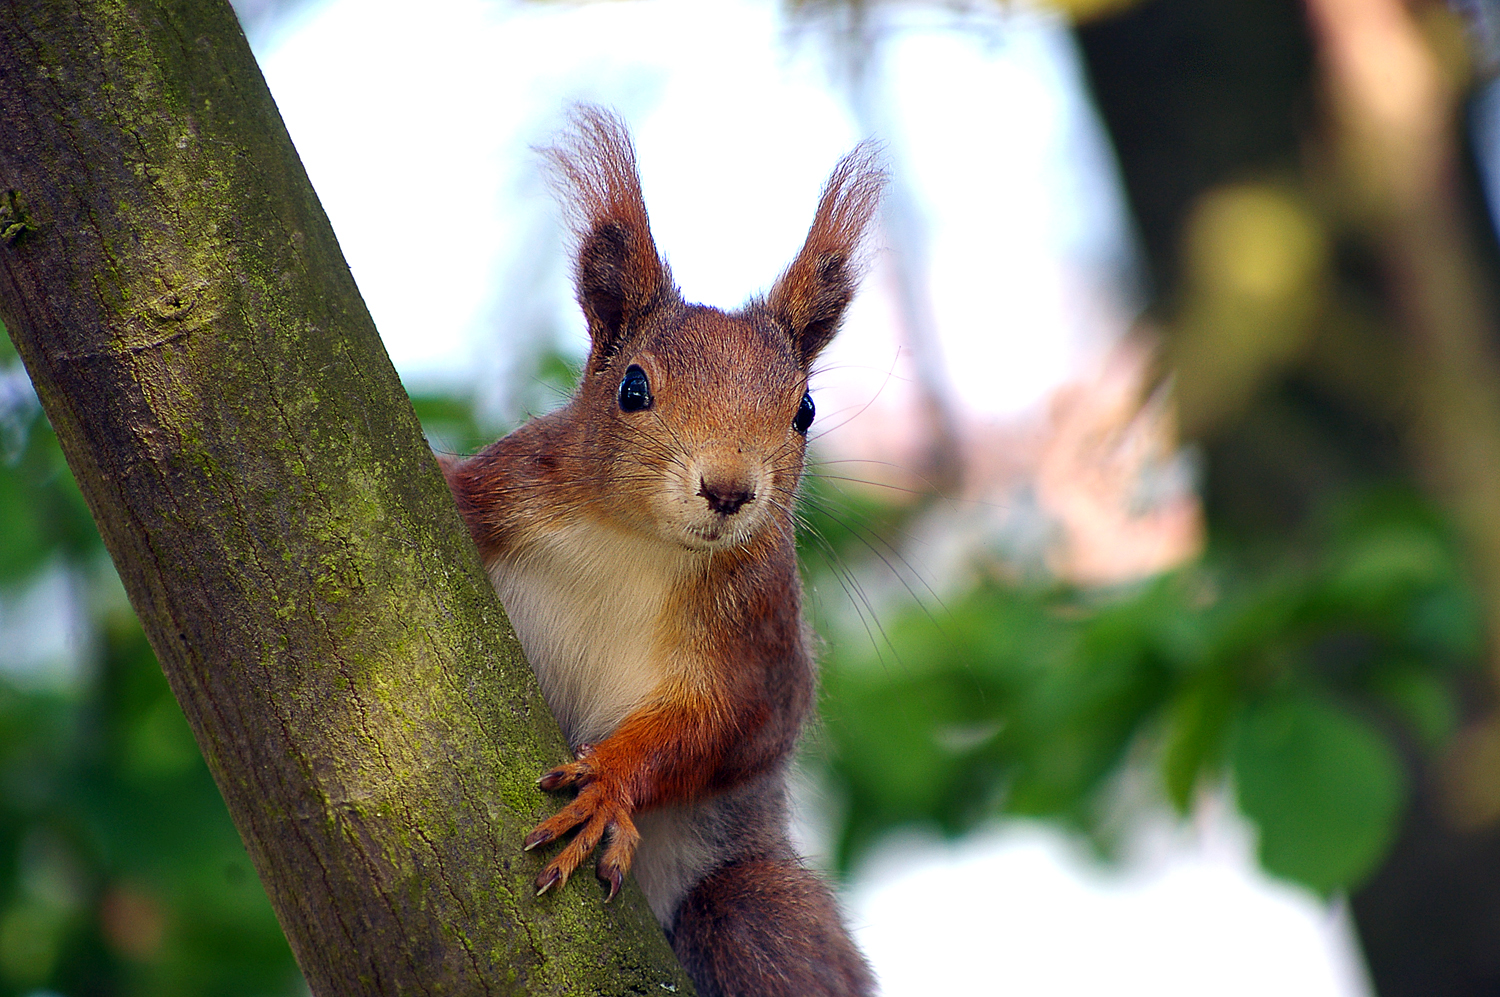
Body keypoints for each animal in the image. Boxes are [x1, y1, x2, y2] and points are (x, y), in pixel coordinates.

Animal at [438, 108, 882, 995]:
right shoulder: (507, 487)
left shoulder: (761, 643)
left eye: (805, 410)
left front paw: (611, 780)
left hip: (747, 902)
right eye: (633, 388)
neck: (636, 544)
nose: (729, 488)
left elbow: (723, 730)